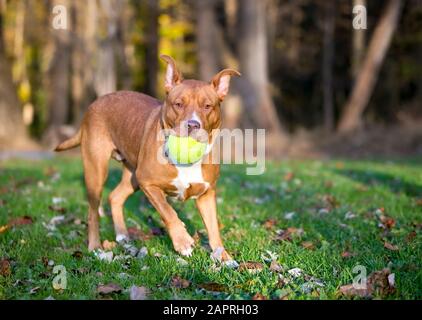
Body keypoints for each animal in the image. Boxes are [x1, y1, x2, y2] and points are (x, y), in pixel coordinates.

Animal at [55, 53, 239, 262]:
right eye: (178, 104)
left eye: (208, 106)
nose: (193, 125)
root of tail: (94, 103)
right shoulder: (148, 183)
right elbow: (168, 211)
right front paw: (182, 241)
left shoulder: (206, 194)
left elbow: (214, 228)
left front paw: (224, 257)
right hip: (97, 170)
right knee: (93, 212)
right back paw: (95, 246)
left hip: (132, 176)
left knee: (115, 197)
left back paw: (122, 236)